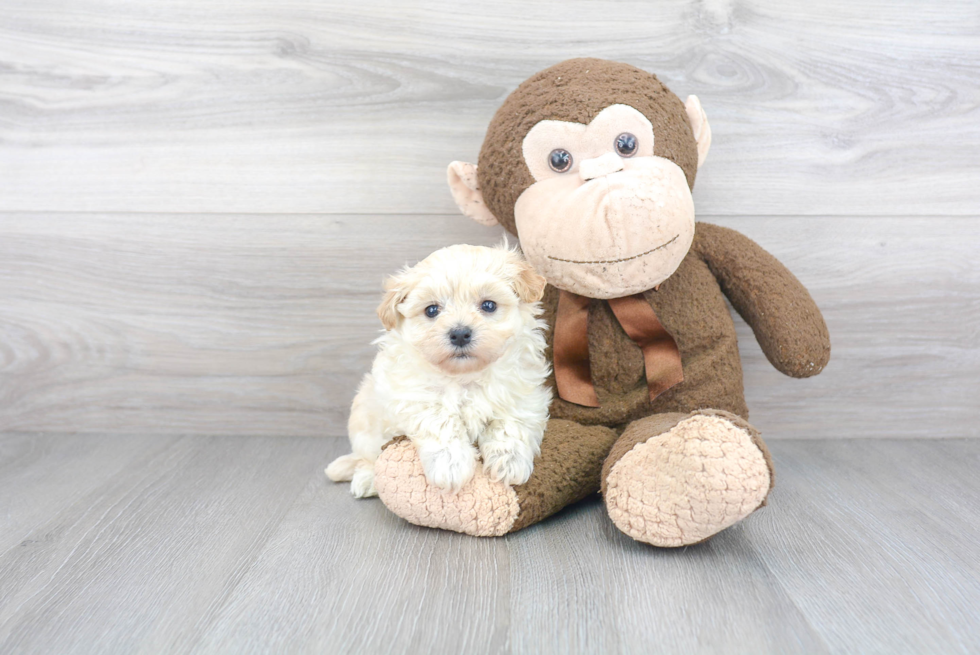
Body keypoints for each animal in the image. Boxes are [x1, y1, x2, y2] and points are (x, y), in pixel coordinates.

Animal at [324, 245, 548, 498]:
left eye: (488, 305)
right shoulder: (412, 395)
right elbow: (441, 423)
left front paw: (509, 462)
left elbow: (510, 424)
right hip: (365, 426)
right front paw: (451, 466)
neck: (465, 376)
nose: (459, 334)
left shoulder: (522, 394)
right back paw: (366, 479)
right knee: (366, 458)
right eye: (432, 310)